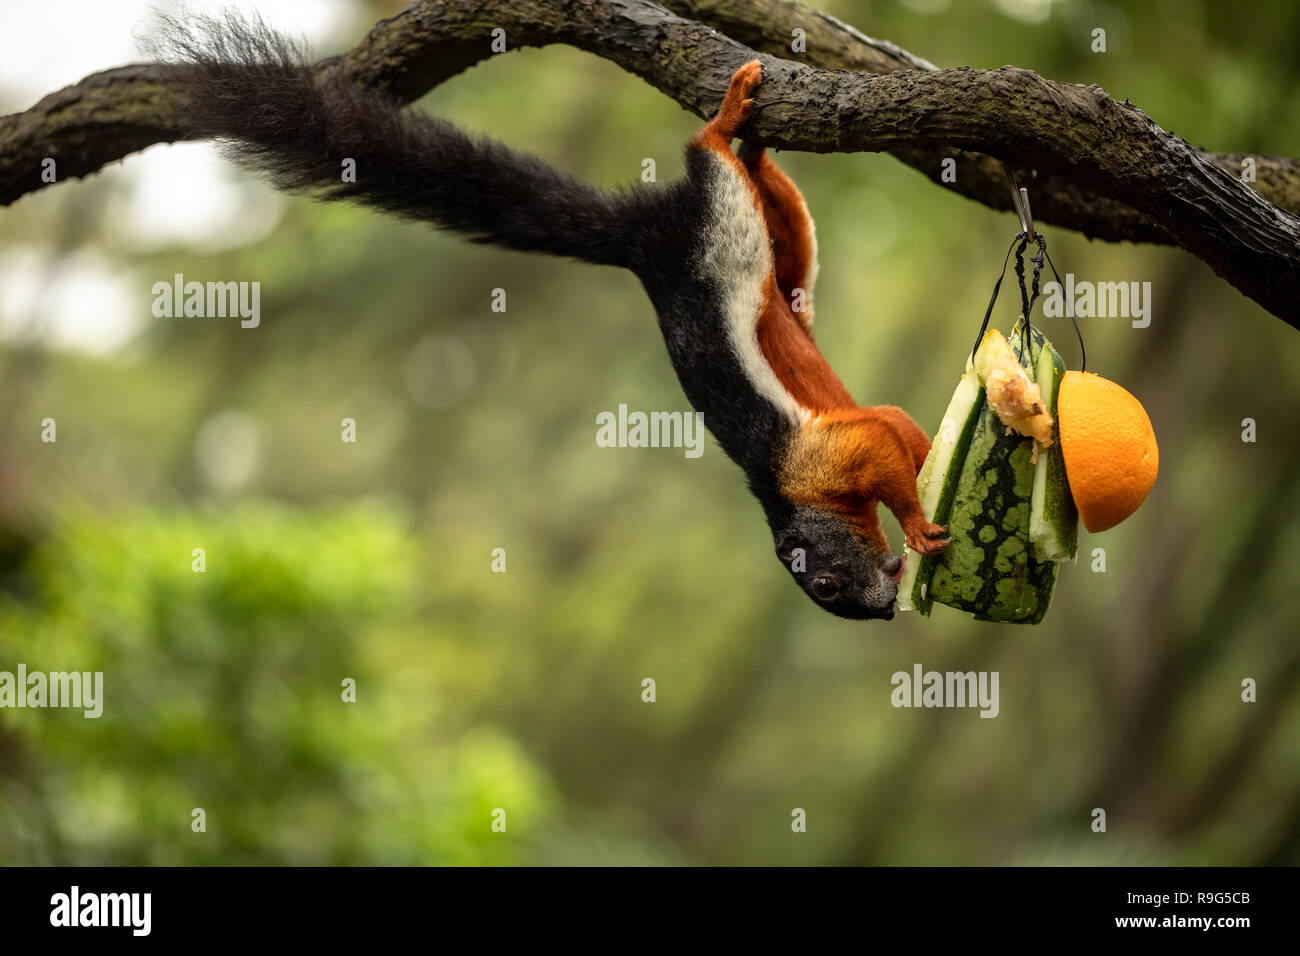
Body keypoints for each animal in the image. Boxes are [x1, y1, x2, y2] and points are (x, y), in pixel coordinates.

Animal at [167, 19, 949, 620]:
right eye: (828, 588)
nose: (884, 611)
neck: (787, 497)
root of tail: (640, 238)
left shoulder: (820, 461)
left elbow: (888, 442)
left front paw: (915, 521)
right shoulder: (836, 450)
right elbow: (895, 428)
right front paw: (927, 507)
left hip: (717, 227)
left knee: (710, 160)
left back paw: (728, 122)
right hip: (769, 257)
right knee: (771, 214)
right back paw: (751, 139)